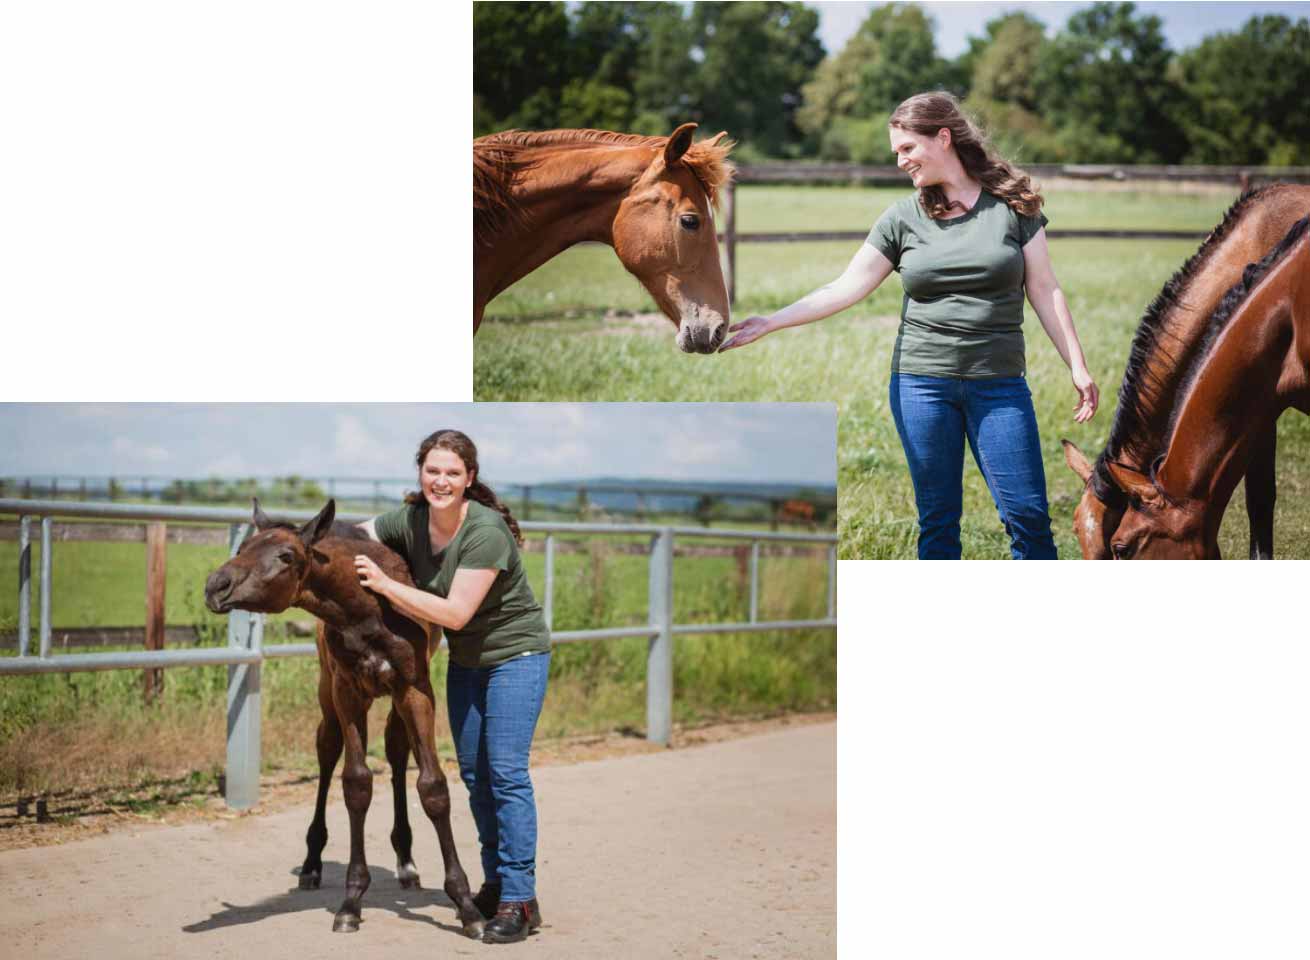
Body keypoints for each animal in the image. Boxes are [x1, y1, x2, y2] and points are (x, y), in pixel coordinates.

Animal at [204, 502, 487, 937]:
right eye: (243, 547)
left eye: (286, 556)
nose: (216, 586)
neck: (368, 610)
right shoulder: (347, 691)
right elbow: (356, 783)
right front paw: (352, 900)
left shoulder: (415, 689)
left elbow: (433, 786)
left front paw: (466, 905)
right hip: (329, 695)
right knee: (327, 751)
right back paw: (311, 864)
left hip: (393, 700)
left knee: (397, 752)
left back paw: (406, 861)